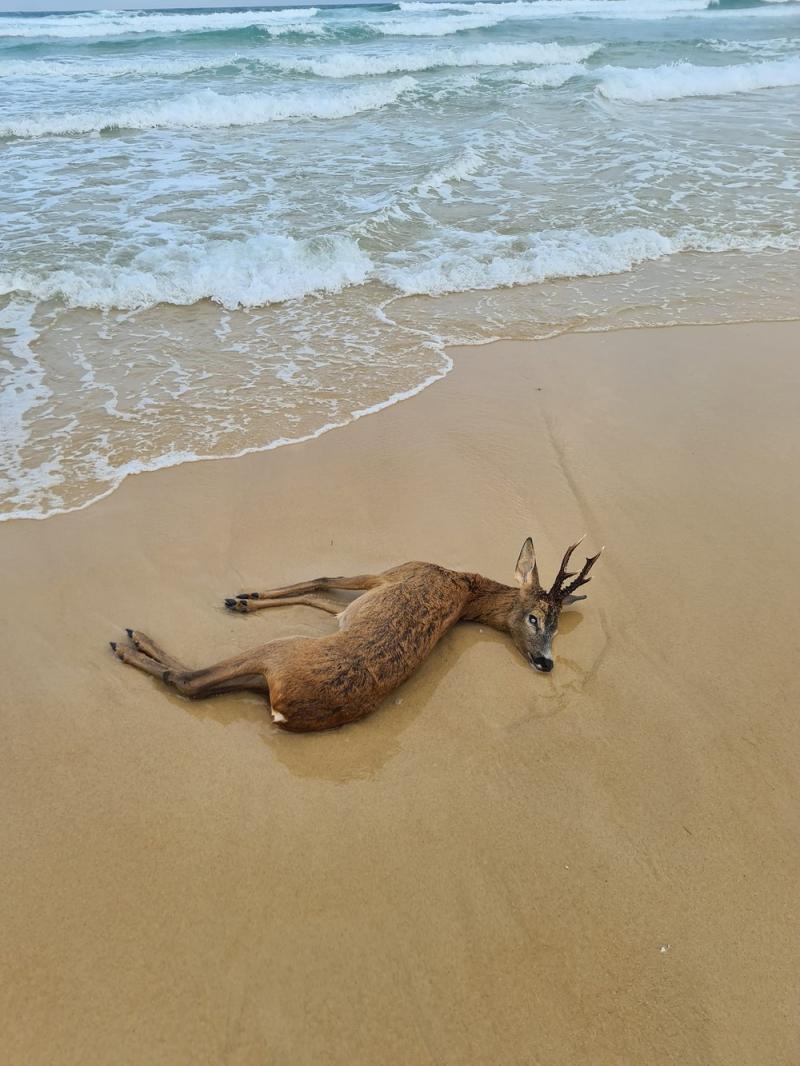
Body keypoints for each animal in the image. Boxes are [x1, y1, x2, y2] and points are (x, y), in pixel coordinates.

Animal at [110, 536, 602, 733]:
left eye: (554, 625)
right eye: (537, 619)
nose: (546, 662)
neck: (463, 584)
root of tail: (285, 708)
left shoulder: (391, 574)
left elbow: (322, 576)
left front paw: (244, 596)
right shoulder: (362, 600)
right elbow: (320, 596)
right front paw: (247, 598)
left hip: (281, 650)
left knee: (190, 681)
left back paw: (129, 642)